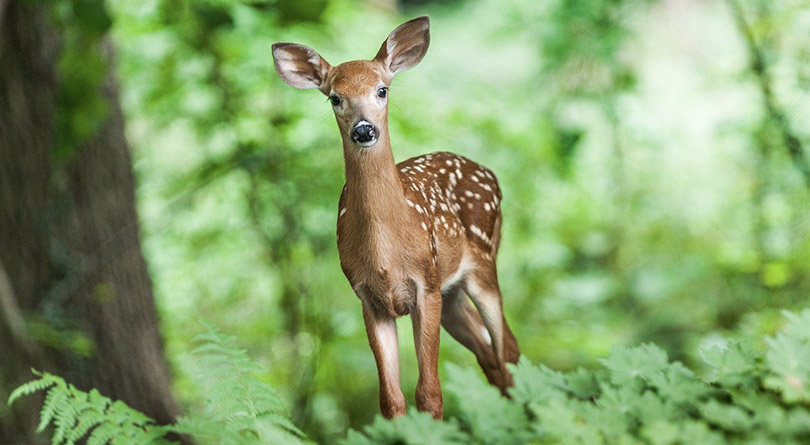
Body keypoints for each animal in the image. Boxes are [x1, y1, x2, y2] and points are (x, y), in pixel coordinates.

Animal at [274, 15, 516, 418]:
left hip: (482, 263)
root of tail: (488, 172)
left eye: (382, 90)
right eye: (335, 97)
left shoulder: (425, 285)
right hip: (452, 294)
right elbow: (391, 399)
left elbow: (430, 394)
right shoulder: (368, 298)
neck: (386, 252)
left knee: (508, 348)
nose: (363, 130)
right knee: (489, 354)